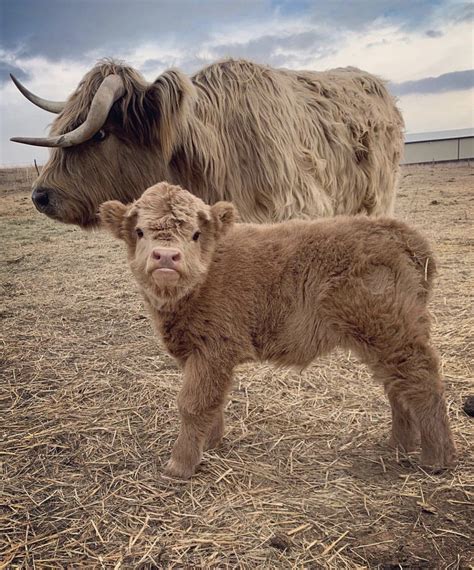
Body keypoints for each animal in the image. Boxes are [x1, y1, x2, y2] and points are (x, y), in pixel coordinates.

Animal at [100, 184, 456, 478]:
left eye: (196, 234)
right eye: (140, 231)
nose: (166, 256)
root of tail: (401, 233)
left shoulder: (213, 349)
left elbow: (193, 404)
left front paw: (180, 465)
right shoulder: (196, 354)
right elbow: (213, 402)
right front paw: (211, 445)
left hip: (394, 332)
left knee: (422, 383)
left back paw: (436, 459)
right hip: (380, 338)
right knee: (396, 385)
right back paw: (398, 445)